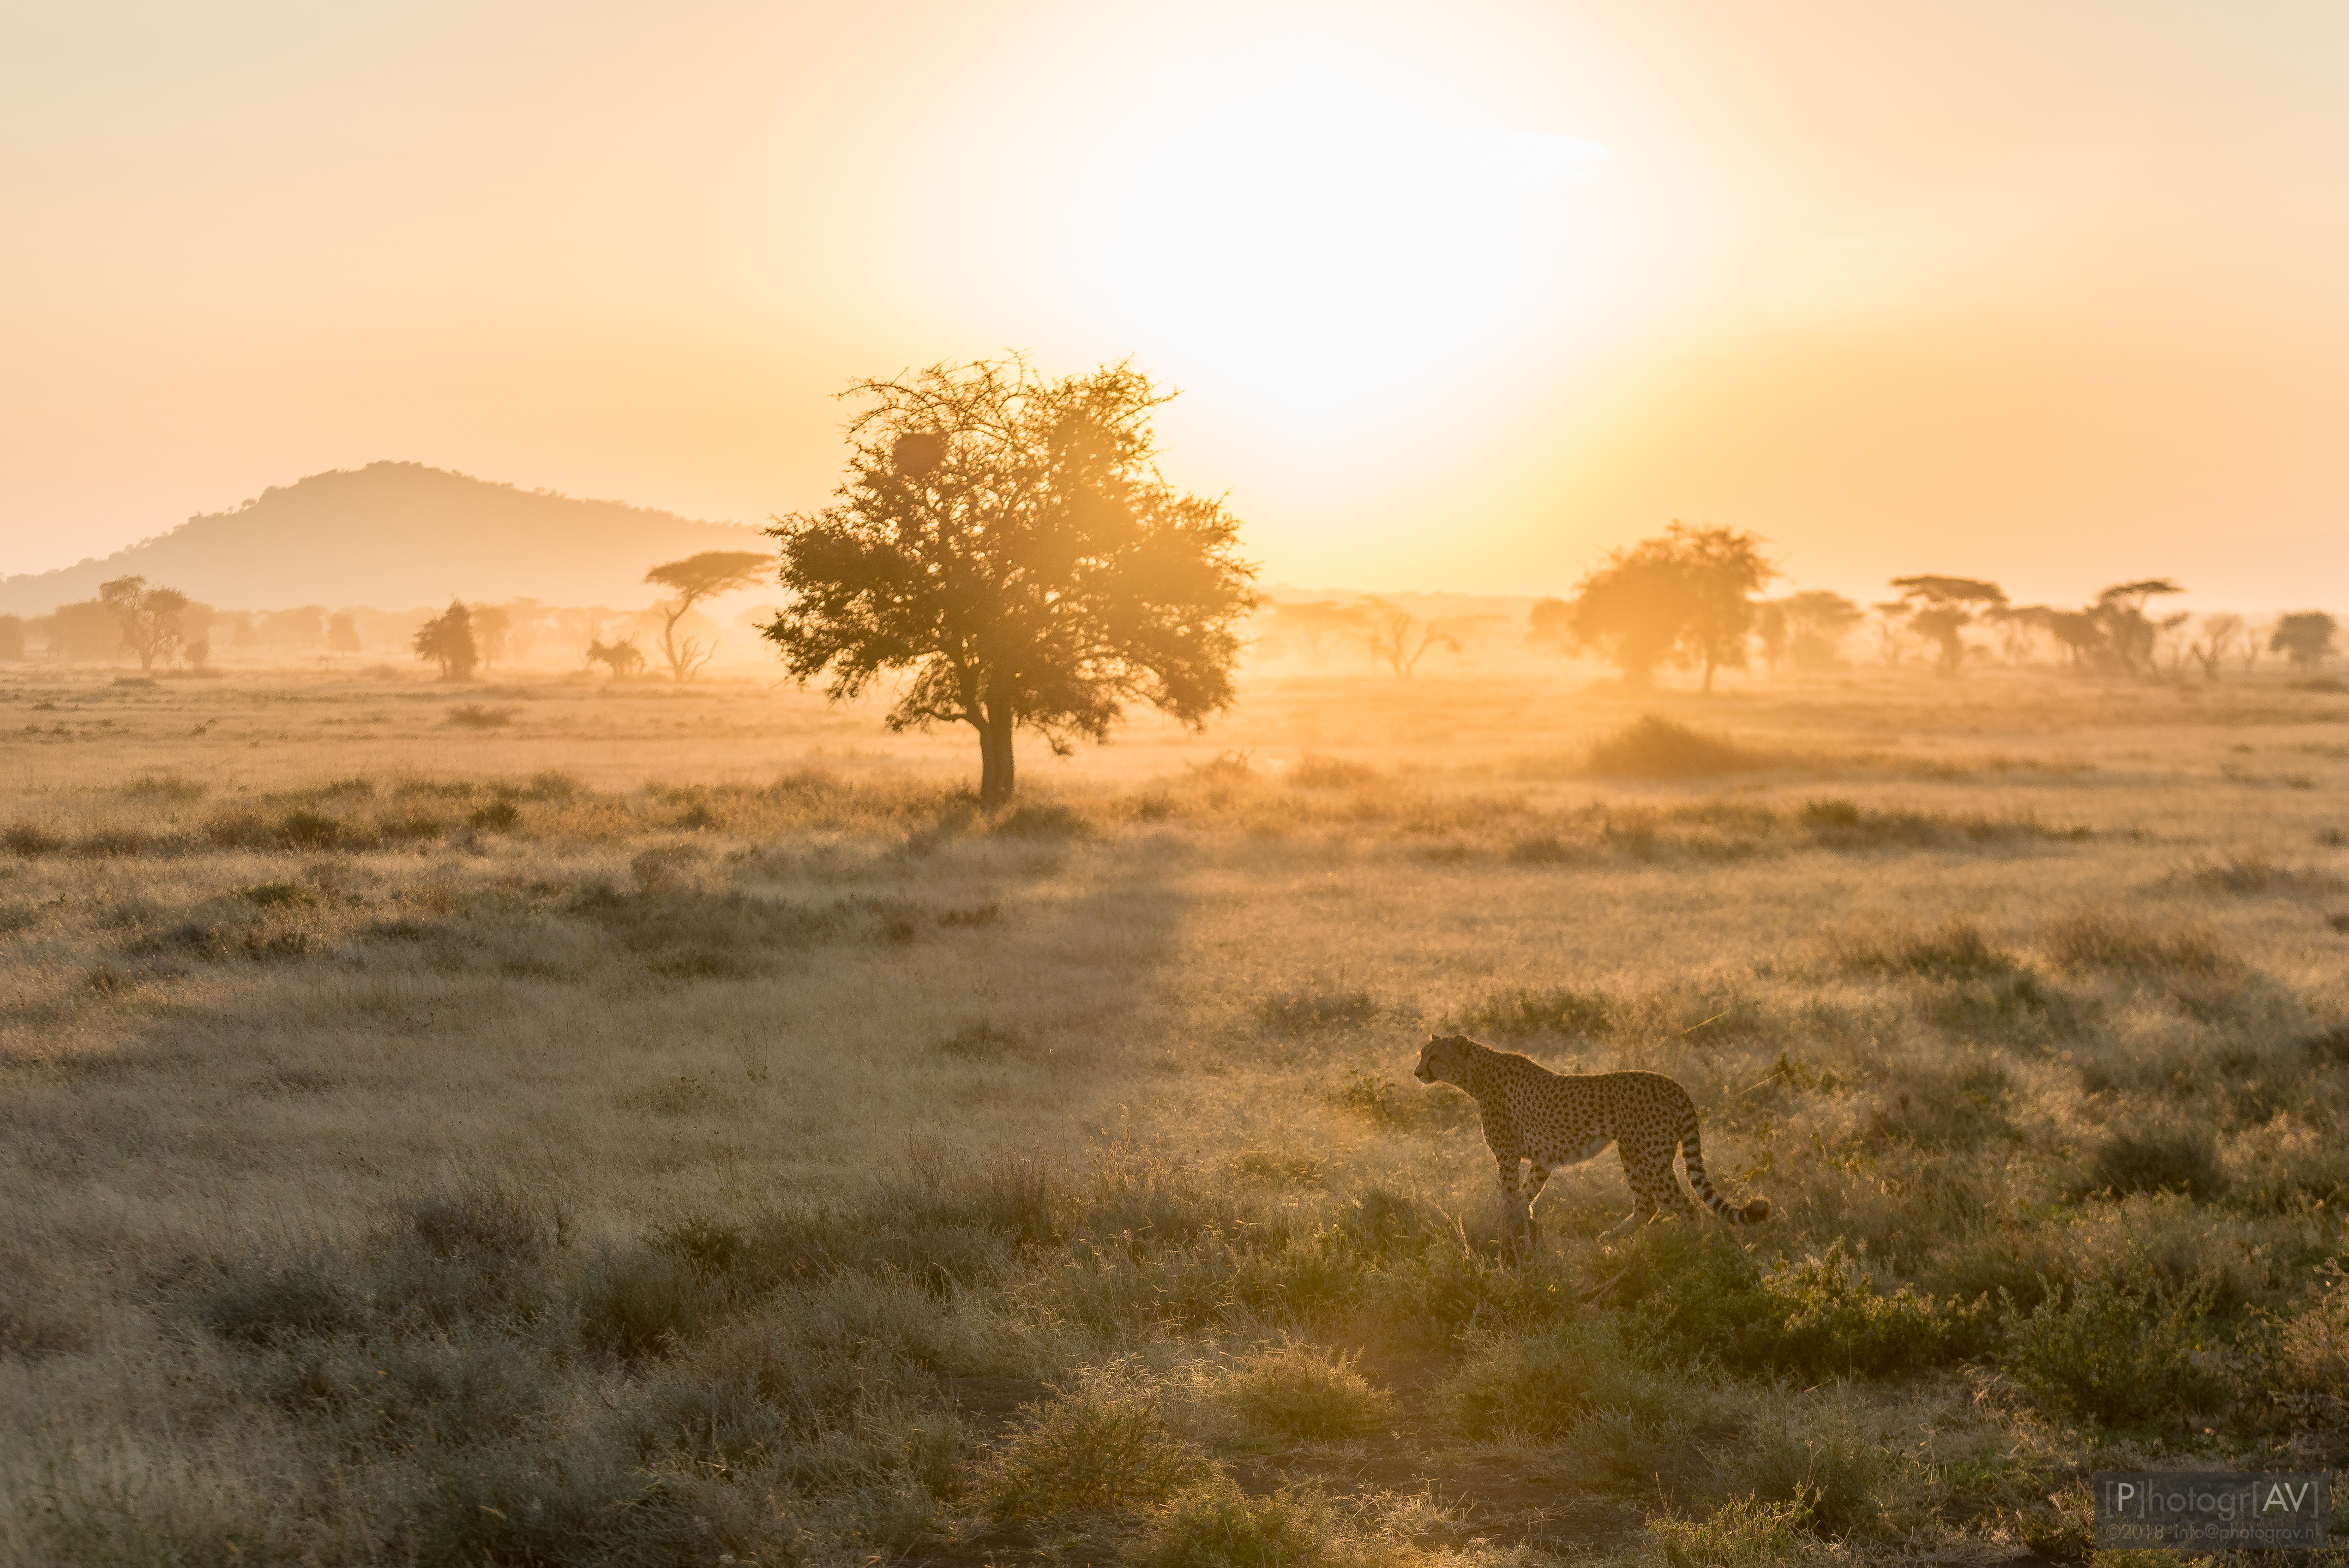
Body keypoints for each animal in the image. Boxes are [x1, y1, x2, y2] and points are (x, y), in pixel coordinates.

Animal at [1413, 1032, 1770, 1246]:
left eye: (1434, 1057)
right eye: (1422, 1055)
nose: (1417, 1072)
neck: (1475, 1074)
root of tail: (1673, 1083)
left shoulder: (1507, 1155)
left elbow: (1509, 1195)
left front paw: (1509, 1237)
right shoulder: (1542, 1160)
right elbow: (1523, 1197)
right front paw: (1523, 1230)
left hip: (1650, 1158)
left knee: (1684, 1206)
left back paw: (1688, 1252)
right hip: (1631, 1152)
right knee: (1648, 1204)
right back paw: (1609, 1239)